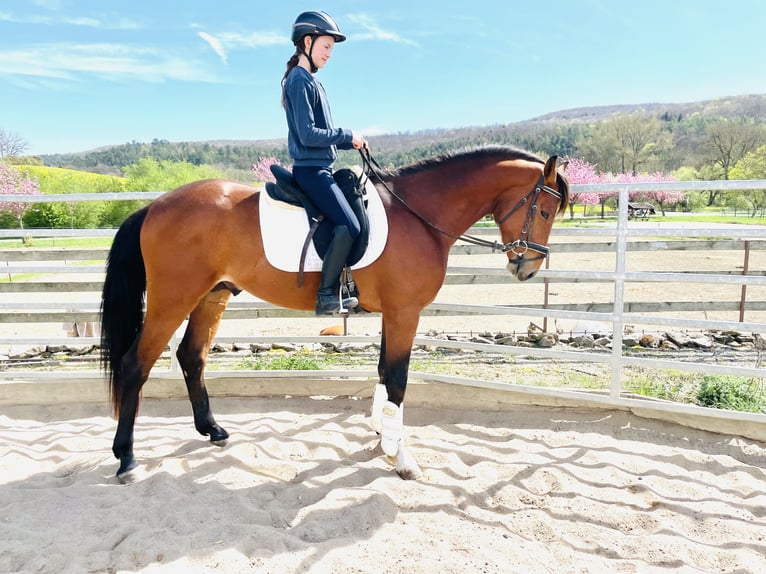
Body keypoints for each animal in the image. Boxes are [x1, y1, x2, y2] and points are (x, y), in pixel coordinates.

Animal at [100, 146, 568, 484]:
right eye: (545, 211)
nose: (527, 267)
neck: (419, 215)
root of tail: (154, 206)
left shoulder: (393, 313)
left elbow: (383, 372)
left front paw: (382, 437)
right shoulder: (405, 312)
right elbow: (398, 379)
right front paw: (402, 458)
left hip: (210, 297)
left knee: (191, 357)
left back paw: (212, 430)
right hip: (172, 299)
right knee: (136, 364)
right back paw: (126, 457)